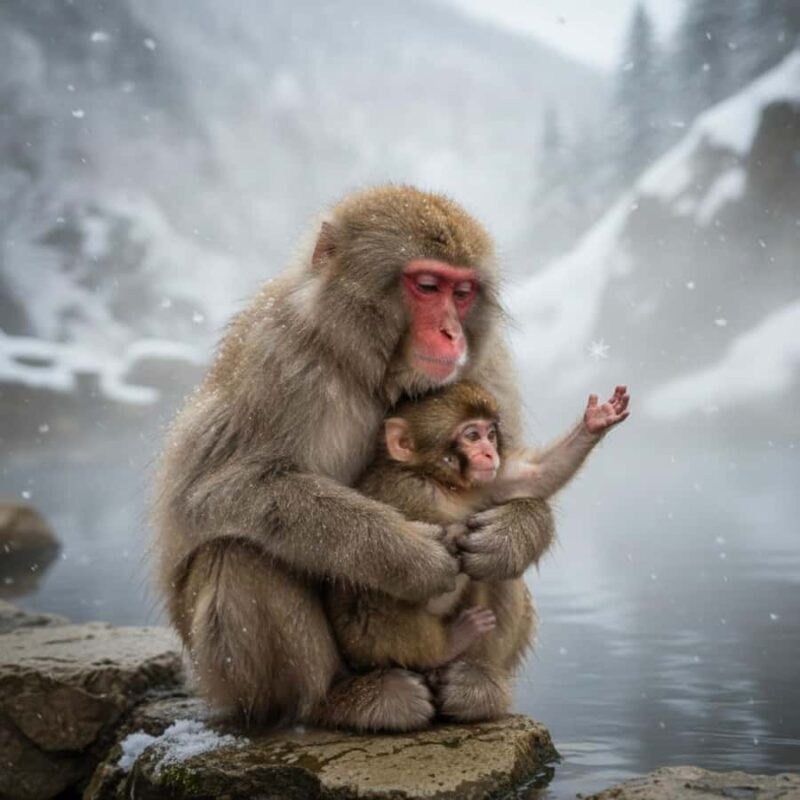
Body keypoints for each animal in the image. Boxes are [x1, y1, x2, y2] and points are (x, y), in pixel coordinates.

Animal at [153, 185, 556, 732]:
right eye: (427, 286)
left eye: (463, 292)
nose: (453, 334)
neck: (379, 372)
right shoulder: (278, 358)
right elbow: (216, 491)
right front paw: (409, 557)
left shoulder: (487, 364)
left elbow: (514, 480)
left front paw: (510, 537)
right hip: (226, 678)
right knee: (238, 553)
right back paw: (335, 702)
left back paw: (472, 682)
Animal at [326, 381, 630, 720]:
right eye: (472, 435)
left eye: (490, 434)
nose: (489, 452)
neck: (437, 481)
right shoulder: (407, 491)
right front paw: (454, 538)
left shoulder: (479, 484)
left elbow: (531, 477)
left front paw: (595, 421)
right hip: (365, 642)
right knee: (380, 596)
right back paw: (448, 645)